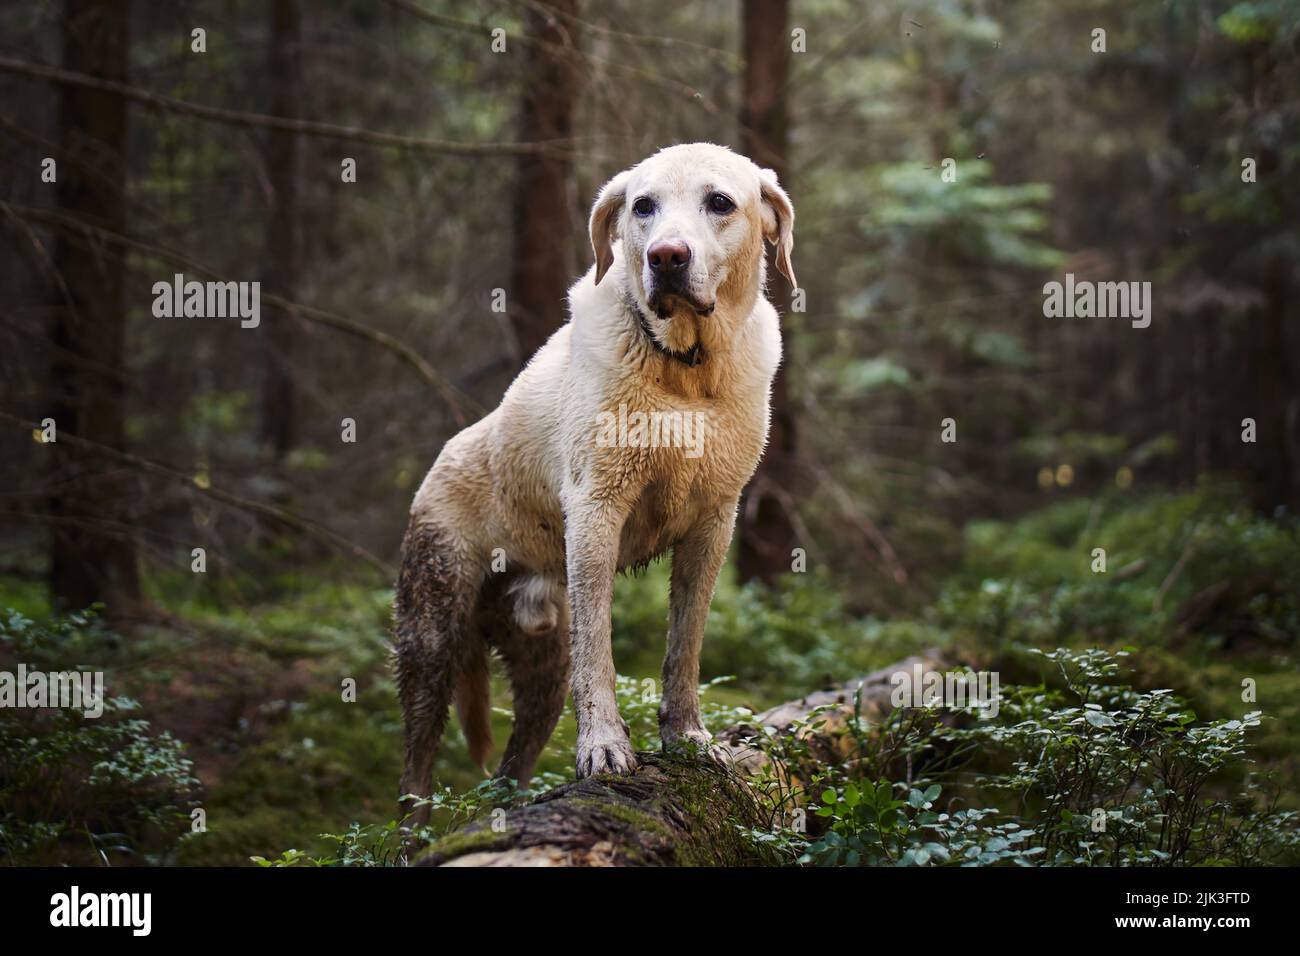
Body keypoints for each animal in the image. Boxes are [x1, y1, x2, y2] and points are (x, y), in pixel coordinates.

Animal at [392, 141, 790, 822]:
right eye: (642, 206)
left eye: (719, 202)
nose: (666, 257)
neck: (685, 373)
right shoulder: (597, 512)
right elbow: (599, 650)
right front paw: (605, 748)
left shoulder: (715, 523)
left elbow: (685, 645)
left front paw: (688, 738)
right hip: (431, 636)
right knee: (416, 770)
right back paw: (413, 834)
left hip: (540, 671)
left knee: (514, 765)